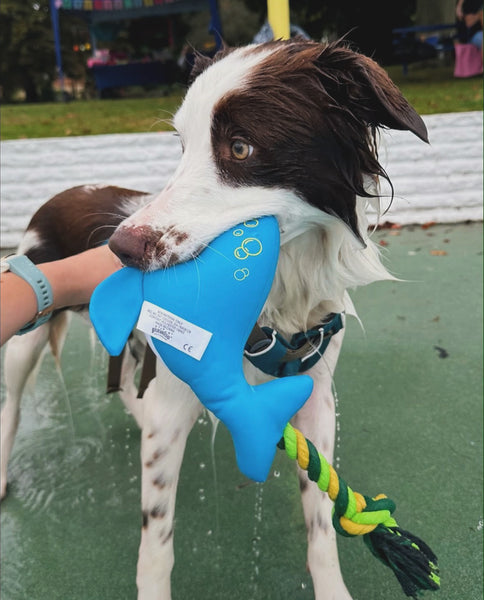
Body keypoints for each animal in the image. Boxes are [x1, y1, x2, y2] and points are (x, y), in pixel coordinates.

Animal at [2, 39, 428, 596]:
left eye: (240, 148)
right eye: (181, 146)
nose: (119, 251)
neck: (272, 303)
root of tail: (62, 191)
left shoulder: (316, 396)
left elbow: (320, 518)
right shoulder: (171, 412)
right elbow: (156, 544)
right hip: (24, 342)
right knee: (12, 405)